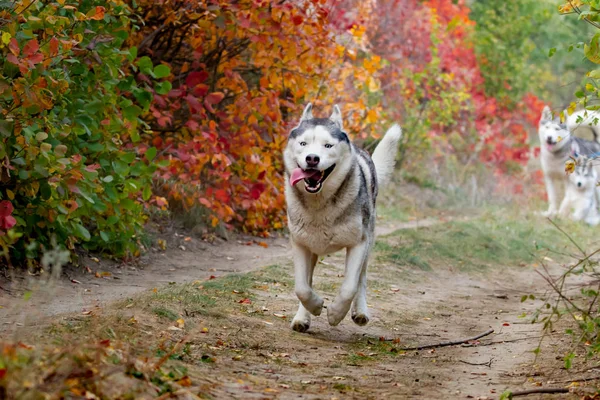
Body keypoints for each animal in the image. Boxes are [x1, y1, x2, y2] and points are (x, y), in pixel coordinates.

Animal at [284, 102, 400, 332]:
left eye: (328, 146)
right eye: (303, 143)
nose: (312, 158)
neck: (319, 205)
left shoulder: (358, 243)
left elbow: (349, 287)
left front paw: (336, 314)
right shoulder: (300, 244)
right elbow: (302, 287)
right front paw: (314, 306)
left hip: (369, 239)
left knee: (361, 279)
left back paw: (361, 312)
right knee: (308, 281)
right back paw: (303, 317)